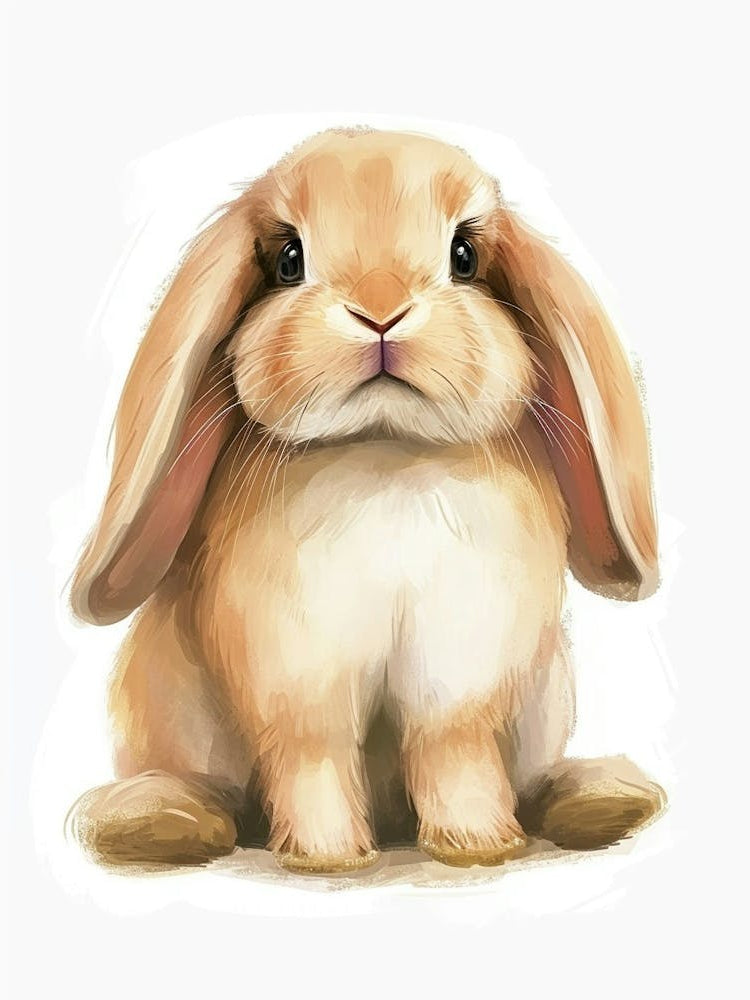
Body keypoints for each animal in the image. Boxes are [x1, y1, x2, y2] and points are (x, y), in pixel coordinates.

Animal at [68, 127, 666, 874]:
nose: (380, 312)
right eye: (288, 259)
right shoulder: (298, 677)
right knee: (206, 788)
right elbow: (314, 756)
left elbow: (452, 751)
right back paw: (164, 822)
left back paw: (604, 801)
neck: (386, 451)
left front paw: (478, 847)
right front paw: (327, 859)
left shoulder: (460, 672)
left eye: (464, 255)